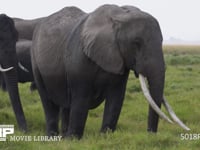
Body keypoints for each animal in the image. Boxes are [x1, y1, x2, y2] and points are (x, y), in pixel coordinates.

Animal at [31, 4, 189, 138]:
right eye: (136, 43)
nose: (151, 134)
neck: (119, 17)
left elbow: (116, 97)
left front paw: (105, 137)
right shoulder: (79, 56)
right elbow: (81, 96)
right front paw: (74, 140)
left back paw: (63, 136)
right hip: (35, 61)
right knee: (47, 100)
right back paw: (54, 137)